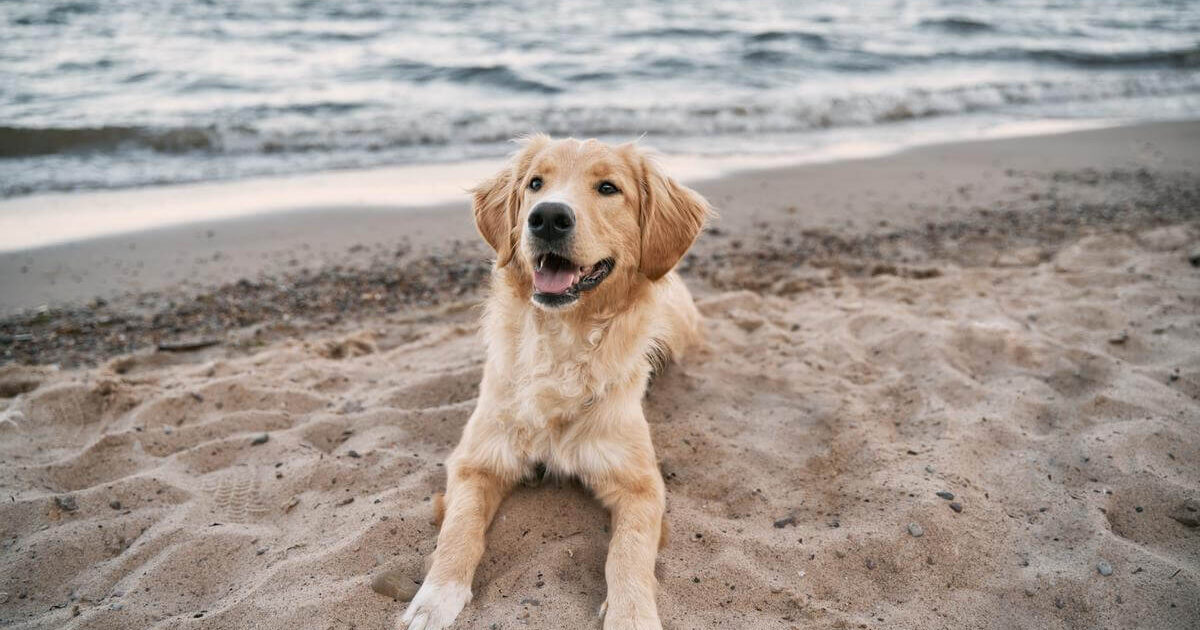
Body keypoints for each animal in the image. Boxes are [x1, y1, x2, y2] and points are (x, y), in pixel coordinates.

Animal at [400, 135, 710, 624]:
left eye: (608, 187)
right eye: (535, 183)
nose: (547, 217)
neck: (561, 341)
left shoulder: (640, 483)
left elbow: (629, 552)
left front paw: (632, 615)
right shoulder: (477, 461)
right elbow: (458, 530)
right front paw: (434, 599)